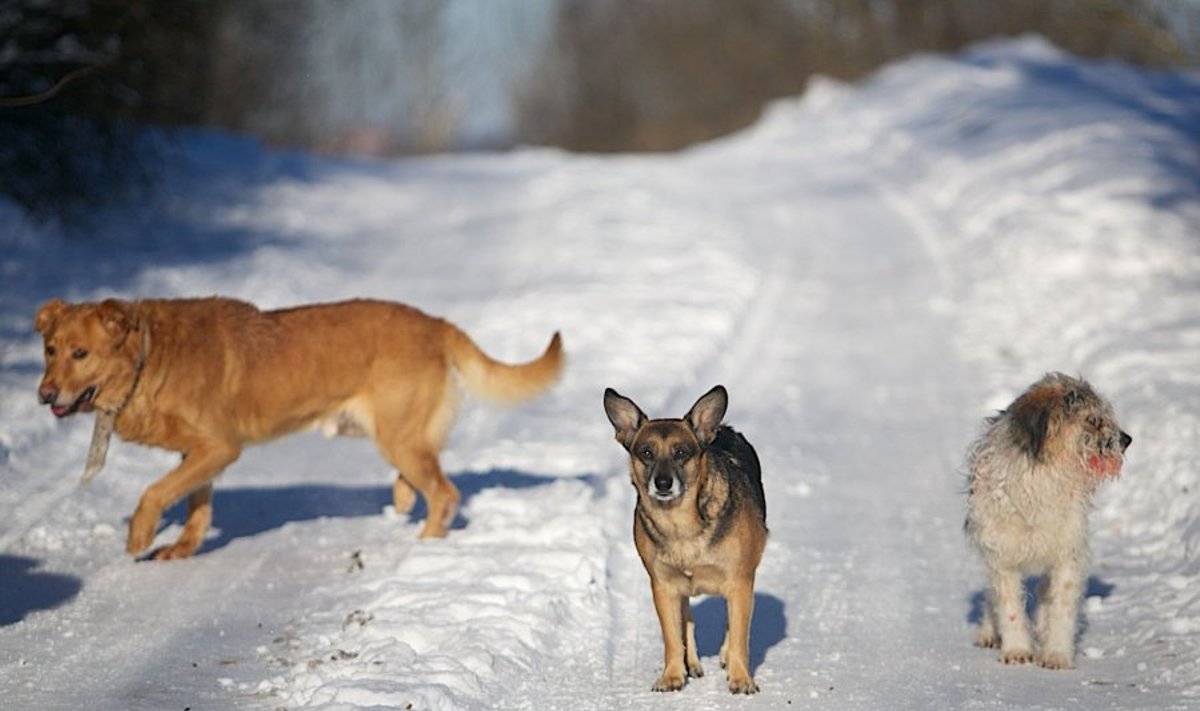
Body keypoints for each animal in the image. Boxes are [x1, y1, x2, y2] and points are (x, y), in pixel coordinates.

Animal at [35, 296, 564, 557]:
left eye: (80, 353)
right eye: (50, 350)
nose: (44, 395)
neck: (150, 354)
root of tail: (436, 323)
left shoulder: (220, 447)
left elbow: (153, 493)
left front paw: (139, 537)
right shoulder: (200, 455)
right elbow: (195, 505)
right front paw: (183, 548)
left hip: (396, 433)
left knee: (445, 493)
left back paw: (427, 545)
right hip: (395, 434)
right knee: (424, 477)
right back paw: (402, 497)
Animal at [600, 386, 768, 691]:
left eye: (682, 452)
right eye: (646, 452)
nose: (663, 483)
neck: (680, 524)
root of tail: (722, 428)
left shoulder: (740, 580)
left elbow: (739, 633)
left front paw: (741, 679)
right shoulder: (663, 585)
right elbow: (672, 635)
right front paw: (672, 675)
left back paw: (725, 657)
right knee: (686, 618)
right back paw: (691, 663)